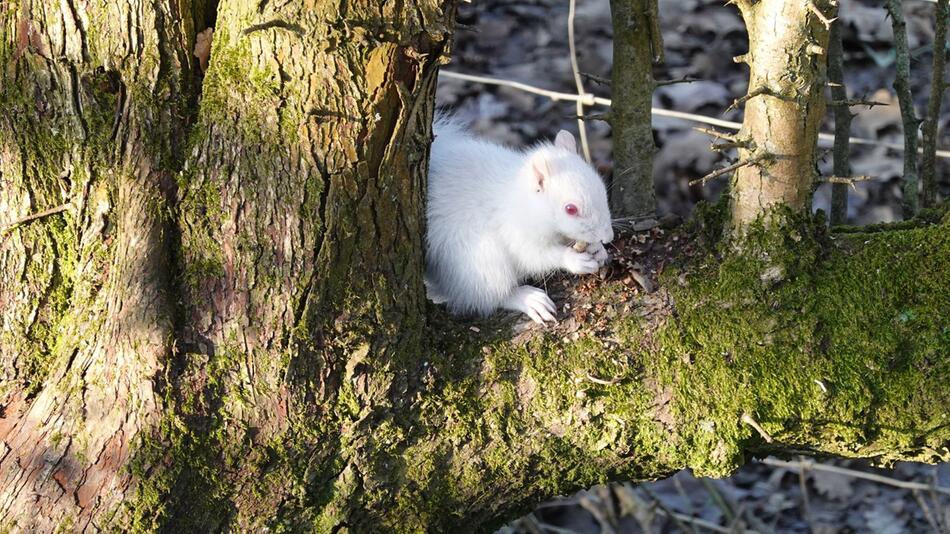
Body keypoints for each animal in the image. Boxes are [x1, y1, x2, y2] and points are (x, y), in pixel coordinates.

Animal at [426, 117, 616, 324]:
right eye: (570, 209)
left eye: (602, 187)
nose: (608, 237)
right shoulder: (515, 231)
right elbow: (534, 256)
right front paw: (574, 260)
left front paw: (598, 249)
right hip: (481, 261)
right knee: (488, 296)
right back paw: (528, 299)